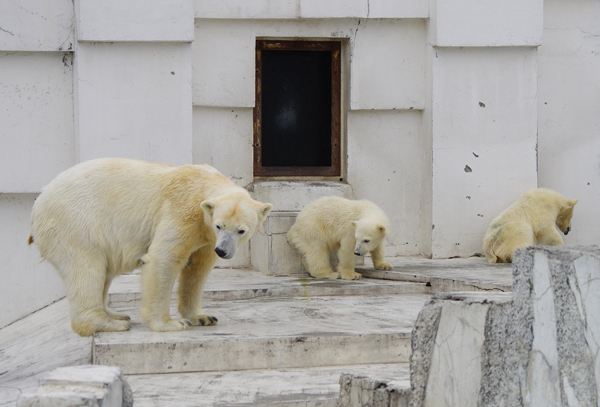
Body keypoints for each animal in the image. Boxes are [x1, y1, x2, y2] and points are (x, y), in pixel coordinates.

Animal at [28, 159, 272, 338]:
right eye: (219, 225)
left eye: (241, 230)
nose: (222, 251)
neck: (204, 182)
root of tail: (39, 200)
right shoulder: (182, 212)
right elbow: (164, 258)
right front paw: (171, 324)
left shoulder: (205, 237)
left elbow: (198, 270)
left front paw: (203, 317)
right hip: (75, 223)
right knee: (87, 268)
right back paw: (106, 323)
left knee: (102, 271)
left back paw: (116, 315)